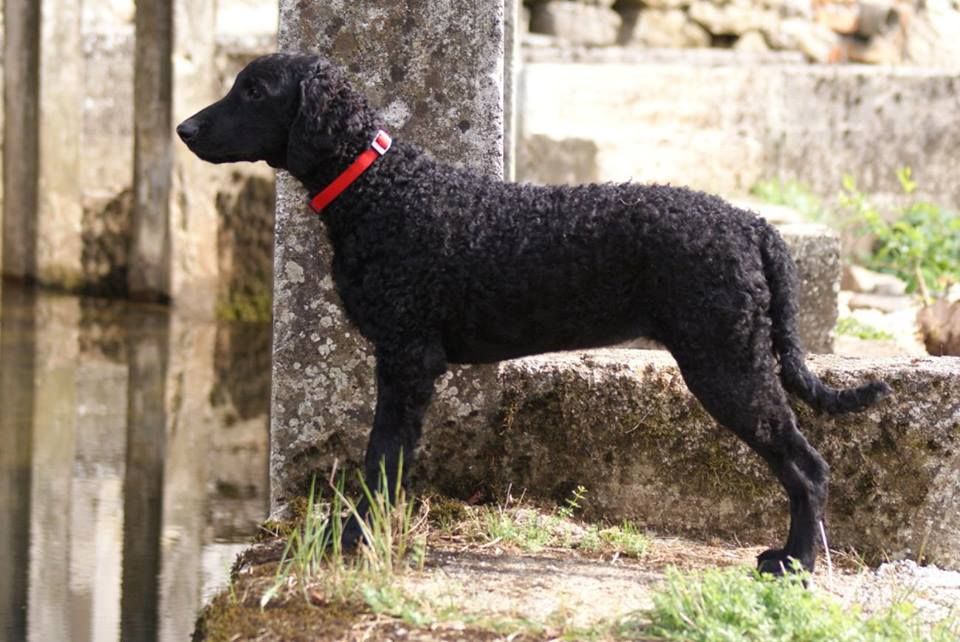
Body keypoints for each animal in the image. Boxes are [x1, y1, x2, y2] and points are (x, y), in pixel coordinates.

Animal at [176, 53, 888, 576]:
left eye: (254, 90)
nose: (184, 129)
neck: (381, 189)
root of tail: (750, 222)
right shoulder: (407, 361)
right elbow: (392, 460)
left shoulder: (407, 358)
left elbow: (382, 459)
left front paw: (352, 541)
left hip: (729, 365)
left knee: (808, 468)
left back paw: (795, 563)